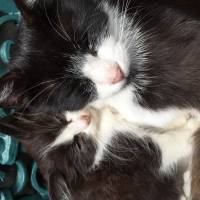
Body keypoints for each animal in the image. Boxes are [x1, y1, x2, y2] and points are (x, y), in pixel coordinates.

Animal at [0, 104, 198, 200]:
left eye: (58, 119)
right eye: (79, 145)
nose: (85, 118)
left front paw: (181, 117)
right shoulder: (141, 156)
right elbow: (173, 143)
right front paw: (193, 125)